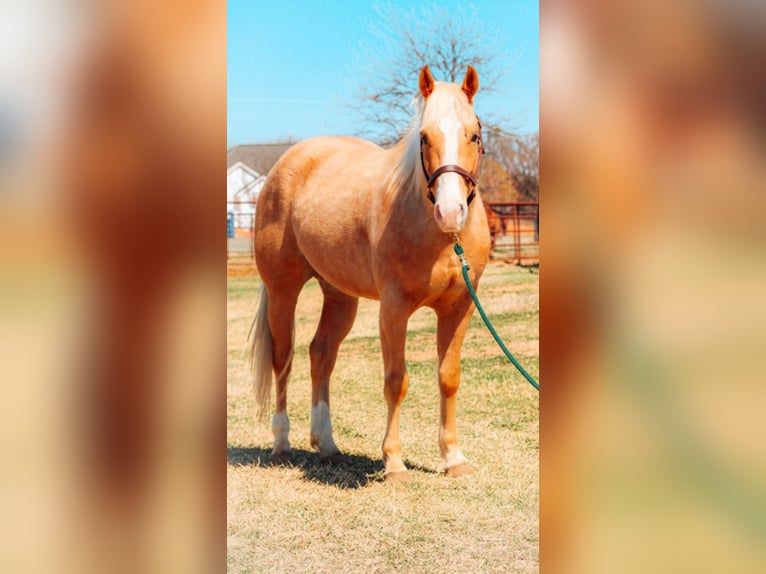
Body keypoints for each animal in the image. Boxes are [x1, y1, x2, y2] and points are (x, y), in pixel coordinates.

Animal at [252, 66, 492, 482]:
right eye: (424, 137)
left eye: (473, 135)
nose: (450, 212)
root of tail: (285, 164)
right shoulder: (393, 309)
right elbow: (396, 381)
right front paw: (393, 461)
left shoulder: (460, 307)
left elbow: (449, 378)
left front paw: (453, 458)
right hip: (283, 290)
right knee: (283, 359)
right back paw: (281, 443)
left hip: (339, 296)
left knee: (321, 354)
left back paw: (327, 444)